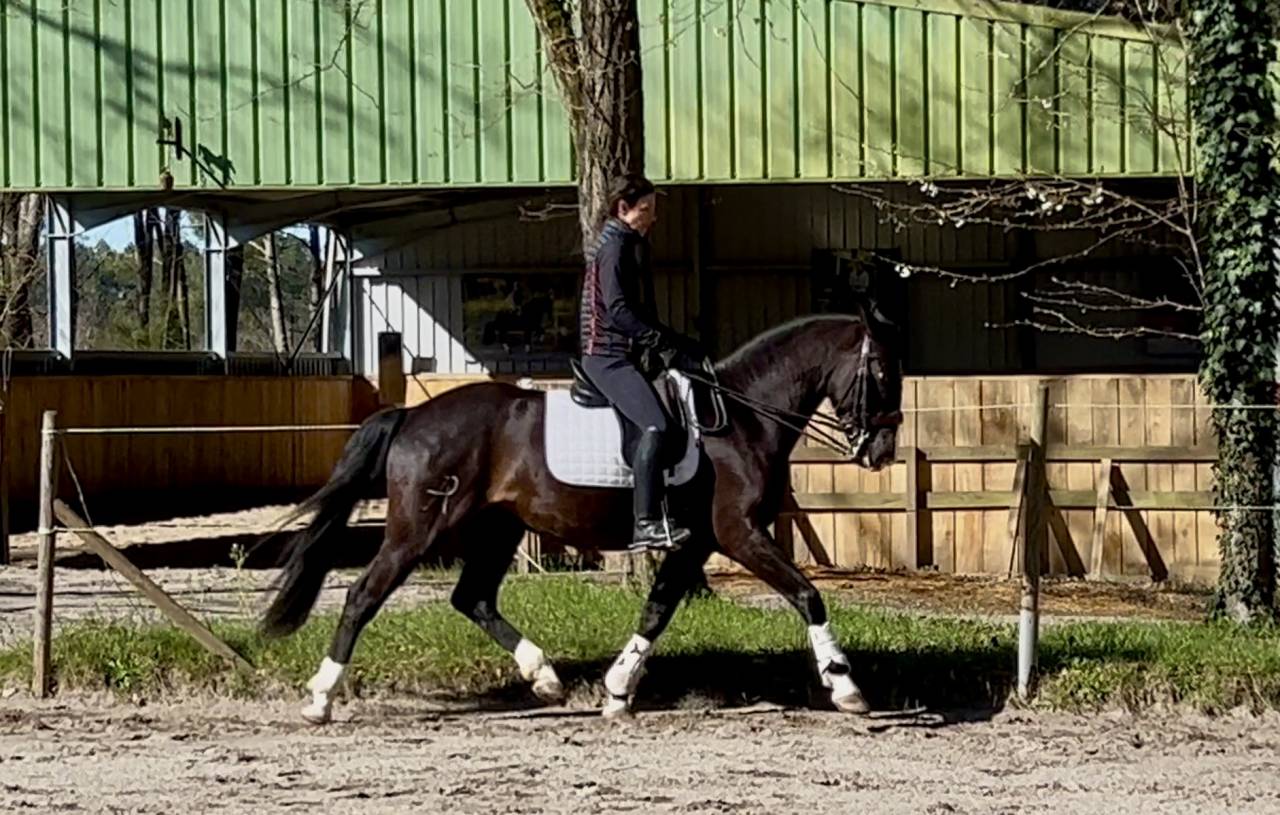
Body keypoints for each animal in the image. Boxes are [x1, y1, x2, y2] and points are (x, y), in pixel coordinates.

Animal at [258, 306, 904, 724]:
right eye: (881, 370)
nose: (881, 451)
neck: (741, 417)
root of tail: (413, 416)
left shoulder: (694, 542)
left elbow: (657, 610)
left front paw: (617, 692)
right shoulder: (738, 533)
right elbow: (807, 595)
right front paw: (845, 687)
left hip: (499, 528)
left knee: (473, 598)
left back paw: (544, 677)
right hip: (418, 530)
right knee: (363, 595)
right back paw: (320, 699)